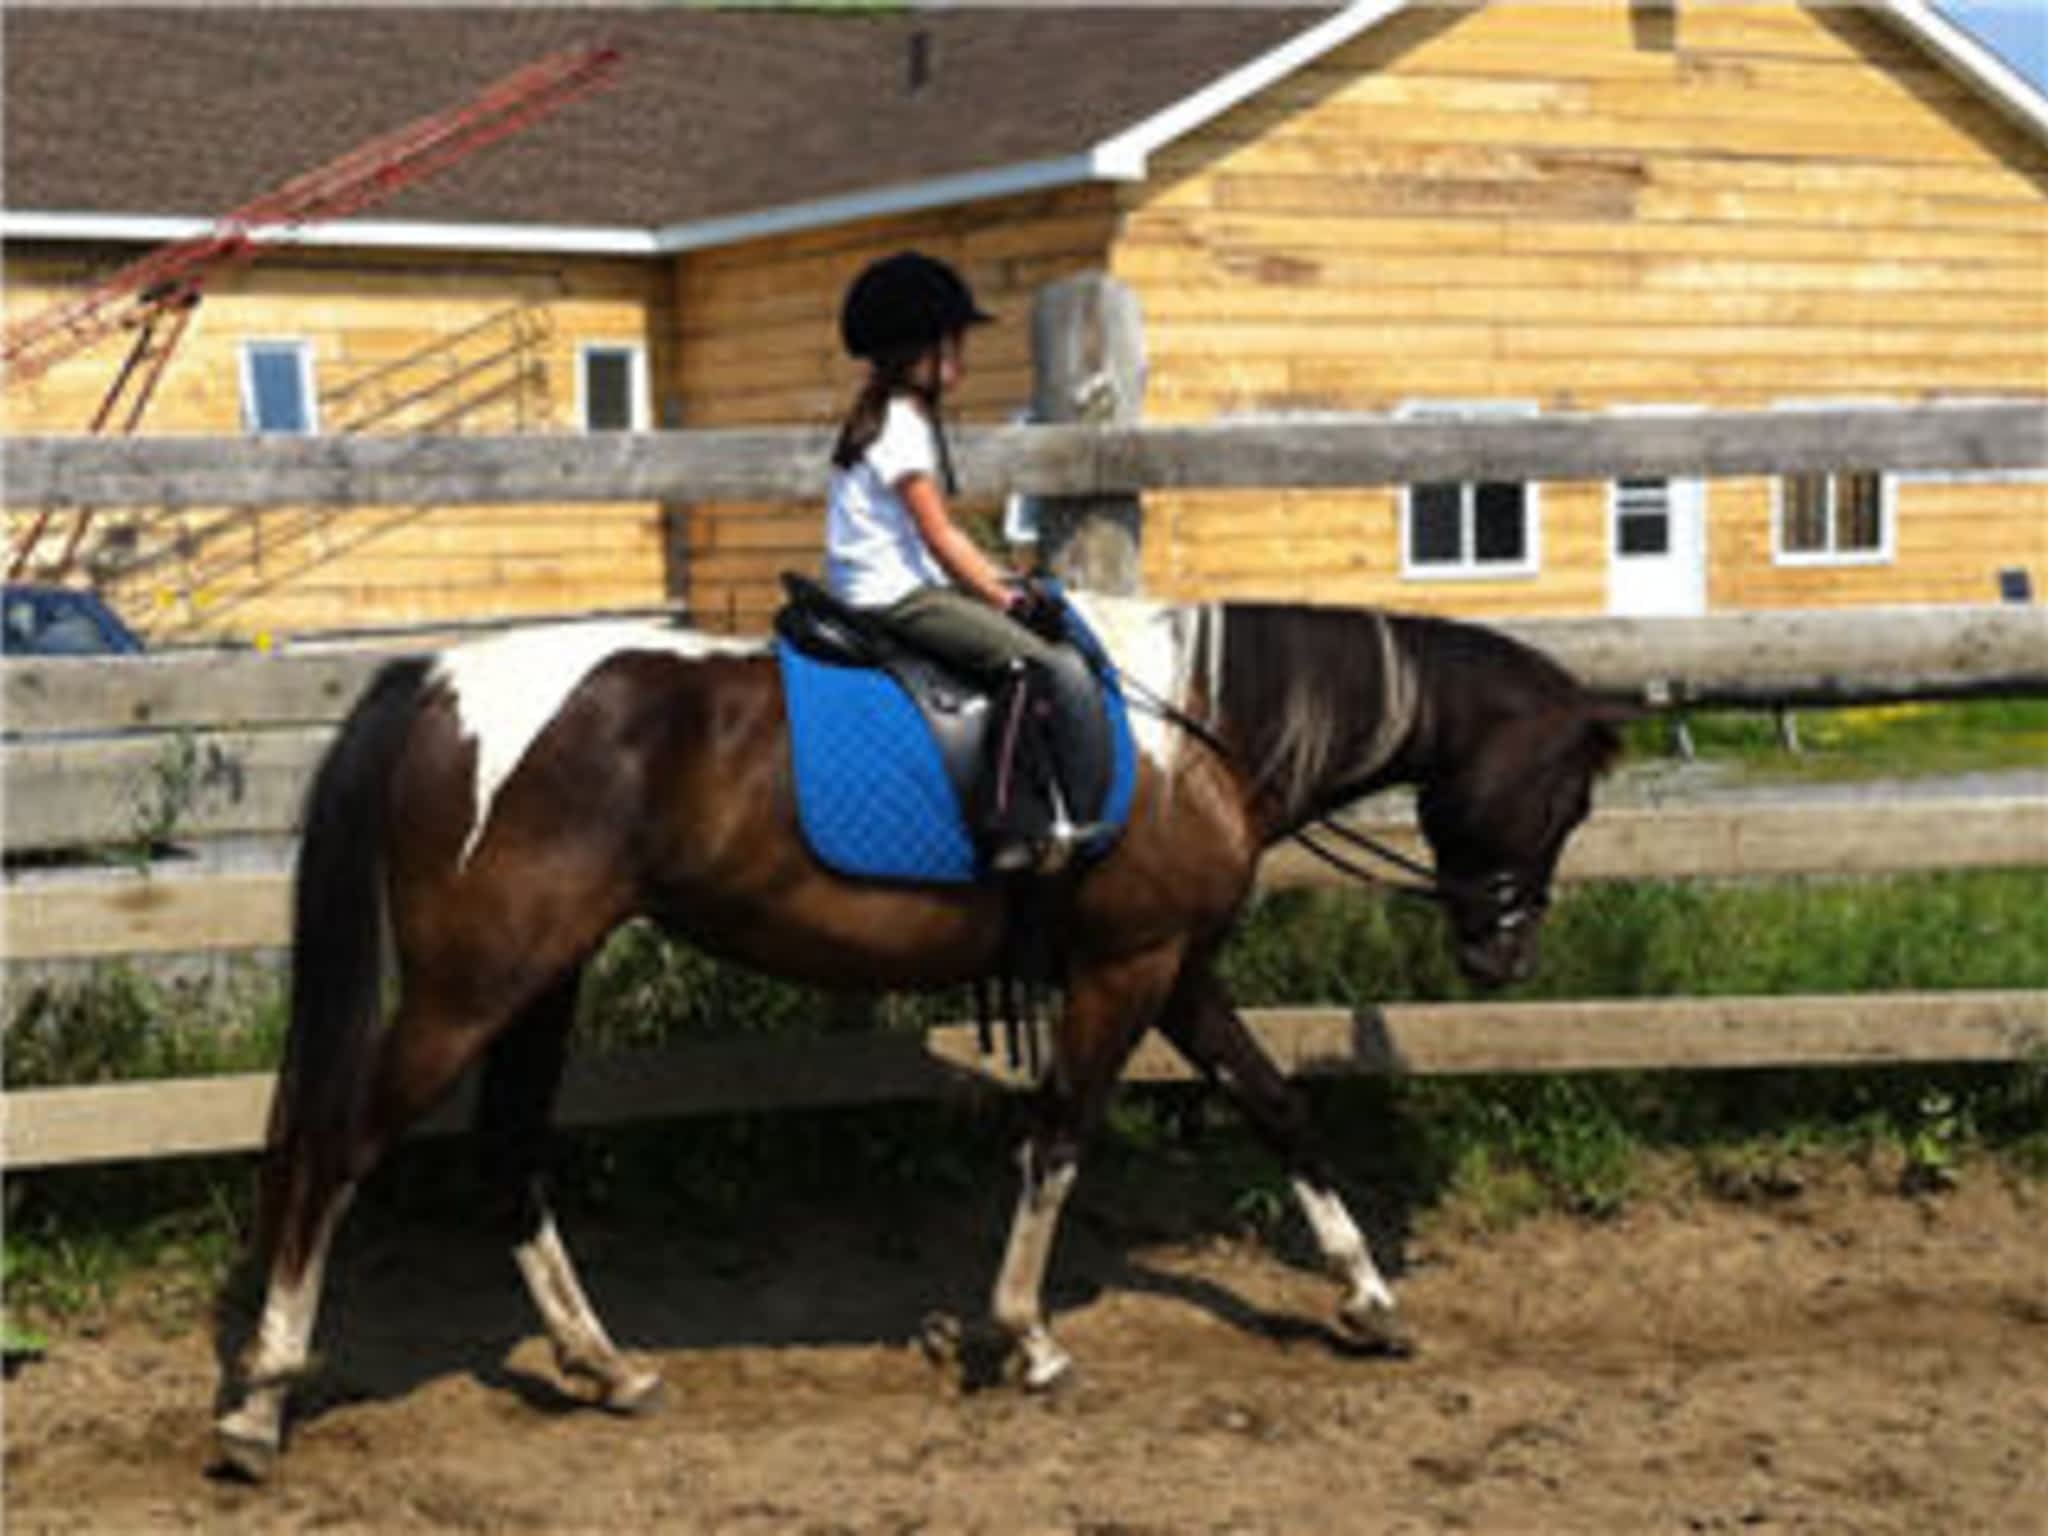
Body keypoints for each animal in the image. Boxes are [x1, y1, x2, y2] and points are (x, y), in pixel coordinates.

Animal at [220, 598, 1630, 1482]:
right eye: (1563, 795)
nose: (1500, 955)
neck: (1195, 729)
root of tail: (436, 683)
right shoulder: (1124, 972)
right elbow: (1058, 1134)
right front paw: (1028, 1336)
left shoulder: (1175, 972)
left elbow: (1276, 1107)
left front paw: (1368, 1299)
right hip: (476, 984)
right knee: (333, 1154)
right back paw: (262, 1401)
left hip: (538, 982)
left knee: (508, 1161)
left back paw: (604, 1366)